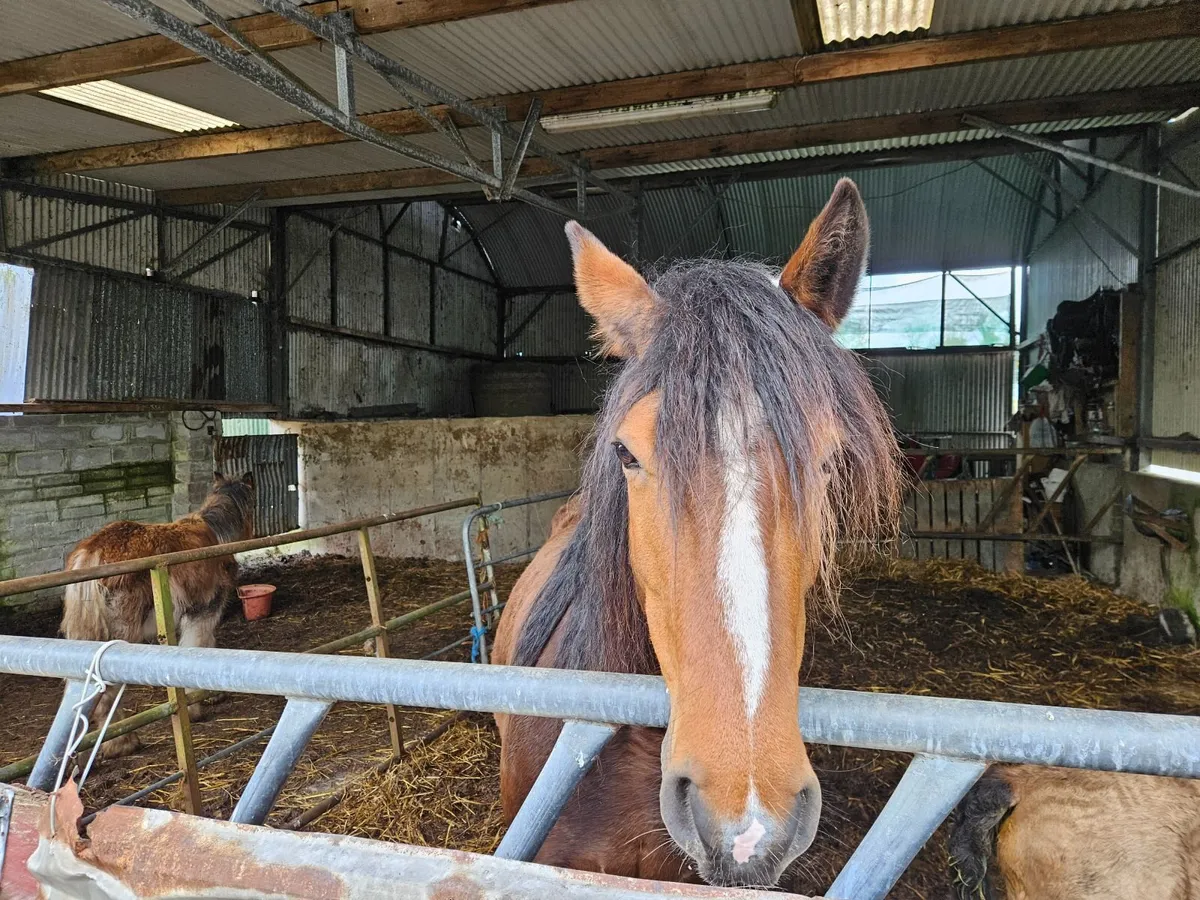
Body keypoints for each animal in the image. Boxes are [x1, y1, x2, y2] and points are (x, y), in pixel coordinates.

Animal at [59, 470, 256, 758]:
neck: (213, 535)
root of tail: (91, 554)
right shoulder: (204, 609)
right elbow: (200, 646)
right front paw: (199, 704)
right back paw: (123, 742)